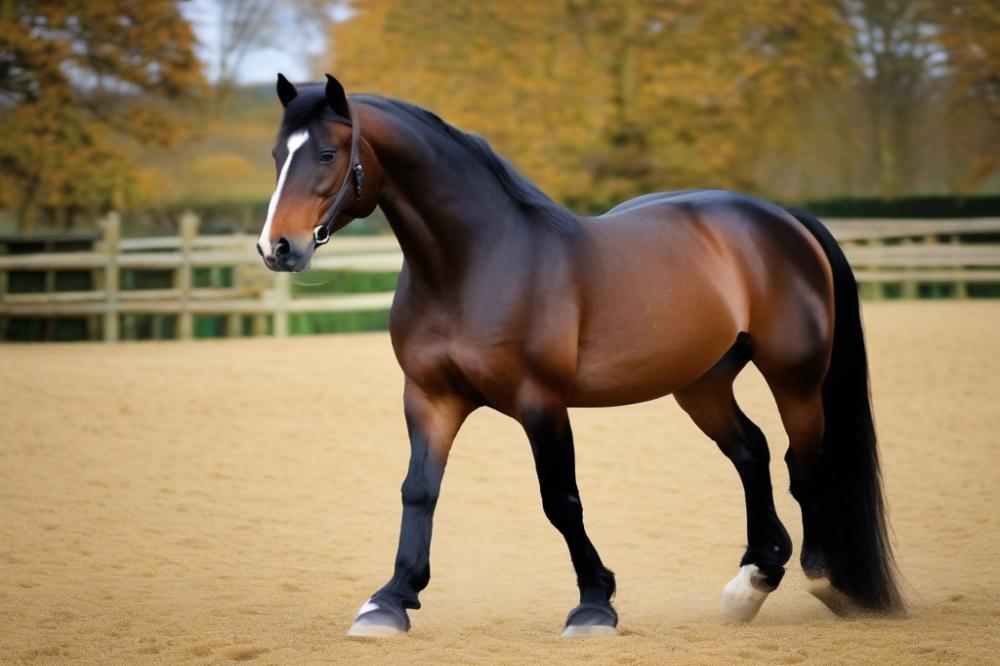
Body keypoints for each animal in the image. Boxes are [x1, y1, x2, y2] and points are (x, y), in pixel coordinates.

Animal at [254, 71, 904, 632]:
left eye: (327, 154)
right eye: (277, 155)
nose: (276, 248)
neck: (477, 262)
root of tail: (780, 219)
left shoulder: (541, 402)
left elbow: (561, 500)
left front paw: (595, 603)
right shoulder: (430, 397)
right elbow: (419, 490)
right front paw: (390, 600)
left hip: (795, 378)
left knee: (804, 462)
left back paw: (826, 579)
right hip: (702, 384)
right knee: (753, 453)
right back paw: (752, 582)